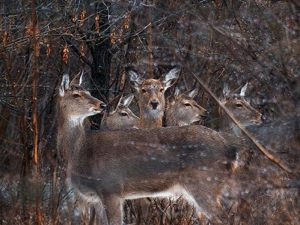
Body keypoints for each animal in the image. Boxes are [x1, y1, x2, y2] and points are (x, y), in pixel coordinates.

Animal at [56, 74, 241, 225]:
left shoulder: (111, 188)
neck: (81, 152)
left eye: (88, 92)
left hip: (205, 182)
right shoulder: (92, 198)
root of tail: (230, 150)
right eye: (76, 94)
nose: (101, 104)